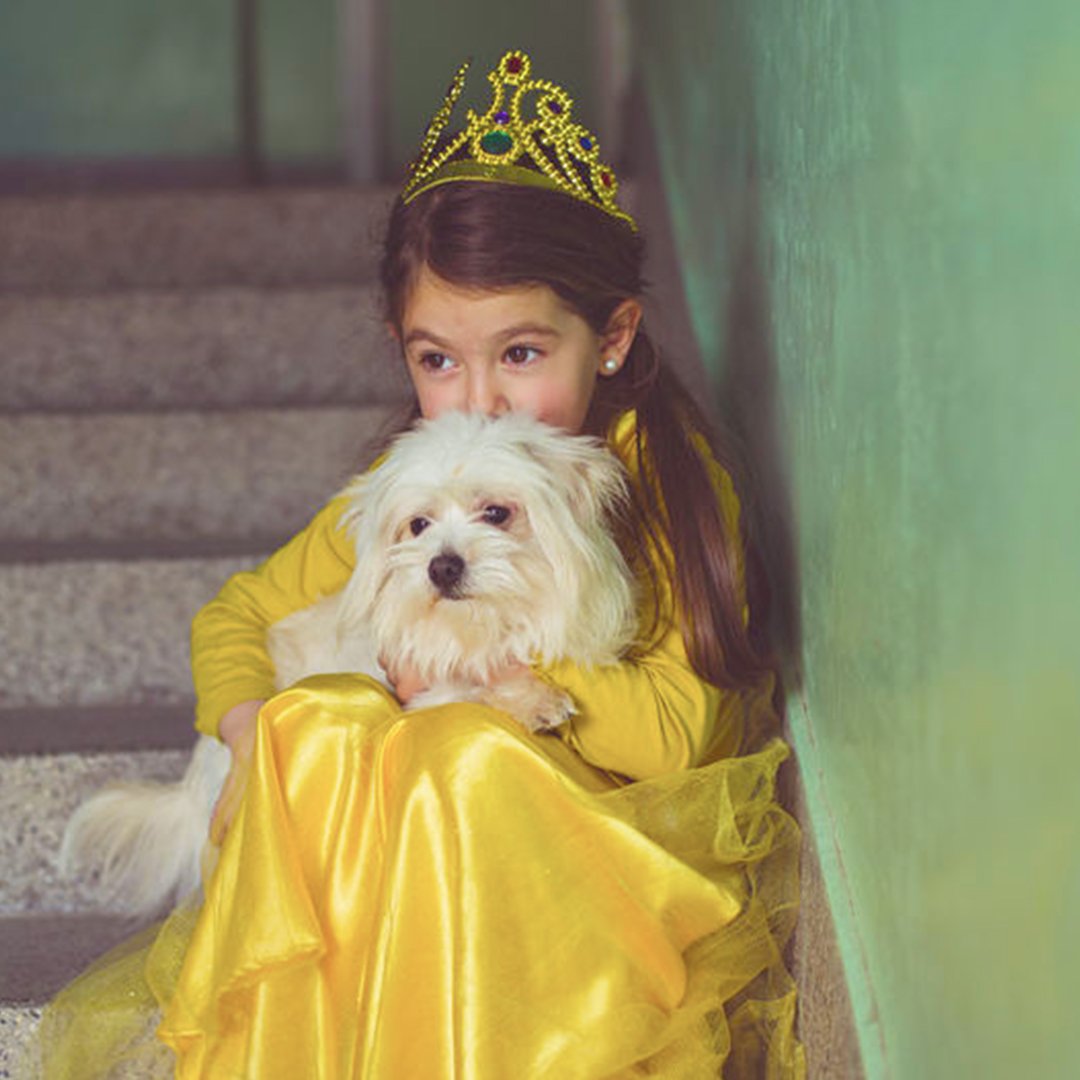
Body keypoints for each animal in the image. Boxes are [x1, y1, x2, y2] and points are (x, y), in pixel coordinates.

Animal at [59, 412, 635, 920]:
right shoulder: (423, 680)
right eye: (417, 525)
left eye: (497, 513)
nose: (441, 566)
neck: (480, 623)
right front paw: (531, 698)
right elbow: (465, 683)